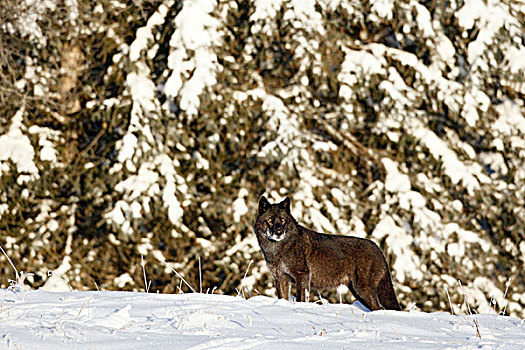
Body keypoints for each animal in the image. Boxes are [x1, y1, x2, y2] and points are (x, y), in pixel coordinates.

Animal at [252, 196, 400, 310]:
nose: (278, 232)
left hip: (362, 290)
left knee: (378, 308)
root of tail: (378, 248)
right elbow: (282, 297)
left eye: (283, 220)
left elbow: (301, 298)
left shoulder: (302, 276)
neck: (279, 249)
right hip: (357, 291)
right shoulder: (280, 278)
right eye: (270, 220)